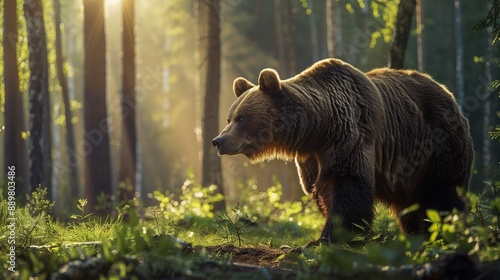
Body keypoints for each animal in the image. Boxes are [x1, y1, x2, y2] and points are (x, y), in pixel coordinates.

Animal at [211, 59, 472, 245]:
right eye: (229, 118)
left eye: (242, 118)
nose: (218, 140)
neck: (318, 128)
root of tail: (451, 97)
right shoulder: (311, 158)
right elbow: (320, 189)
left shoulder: (350, 134)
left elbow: (346, 182)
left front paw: (329, 238)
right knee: (409, 206)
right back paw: (415, 234)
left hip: (437, 145)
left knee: (442, 193)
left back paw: (441, 232)